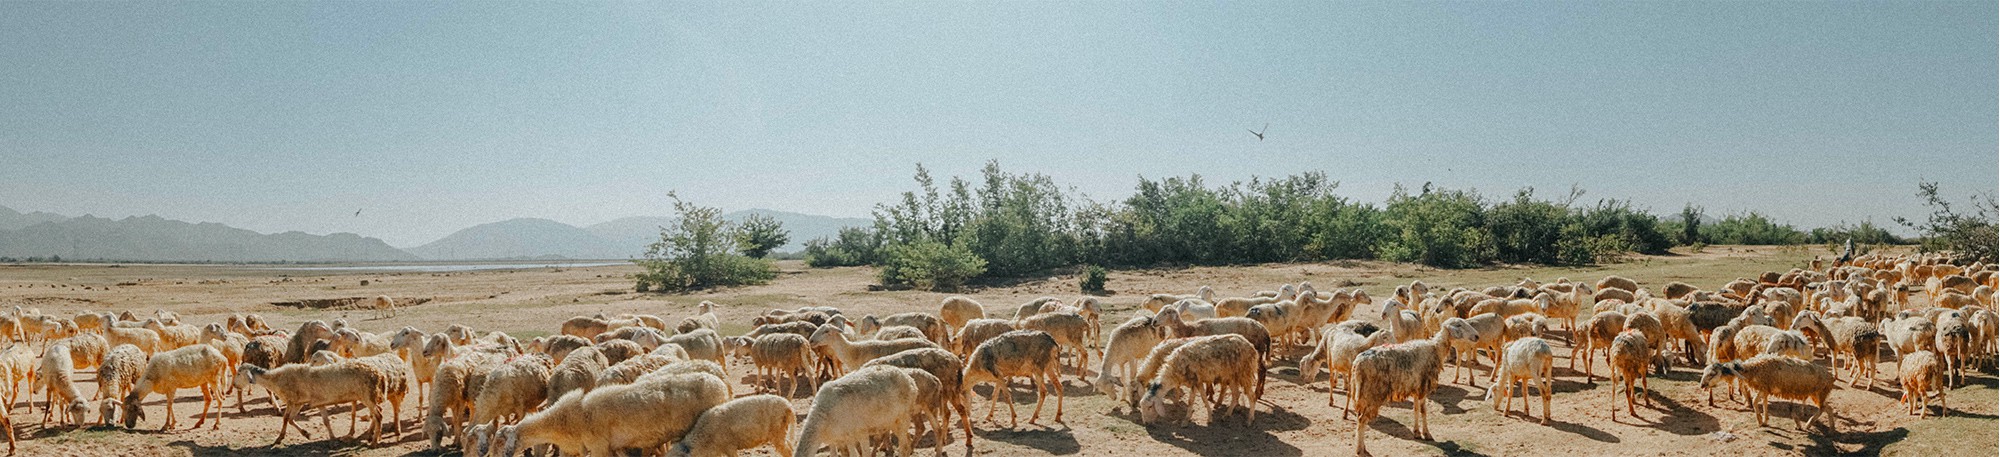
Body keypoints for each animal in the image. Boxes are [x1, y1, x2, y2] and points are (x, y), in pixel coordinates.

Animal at [1344, 324, 1472, 457]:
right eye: (1459, 325)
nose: (1476, 337)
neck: (1435, 348)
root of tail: (1357, 364)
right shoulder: (1423, 387)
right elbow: (1423, 411)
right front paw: (1427, 434)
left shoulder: (1416, 388)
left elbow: (1416, 410)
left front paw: (1417, 432)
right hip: (1370, 393)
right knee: (1361, 420)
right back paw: (1360, 450)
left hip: (1362, 395)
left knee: (1360, 419)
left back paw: (1362, 447)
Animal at [1696, 352, 1832, 432]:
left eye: (1712, 374)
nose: (1702, 385)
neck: (1751, 369)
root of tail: (1830, 377)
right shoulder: (1765, 389)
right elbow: (1765, 404)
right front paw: (1765, 421)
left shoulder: (1763, 388)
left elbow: (1755, 402)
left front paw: (1760, 421)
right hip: (1818, 394)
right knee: (1828, 408)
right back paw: (1830, 427)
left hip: (1819, 393)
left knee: (1824, 408)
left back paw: (1809, 424)